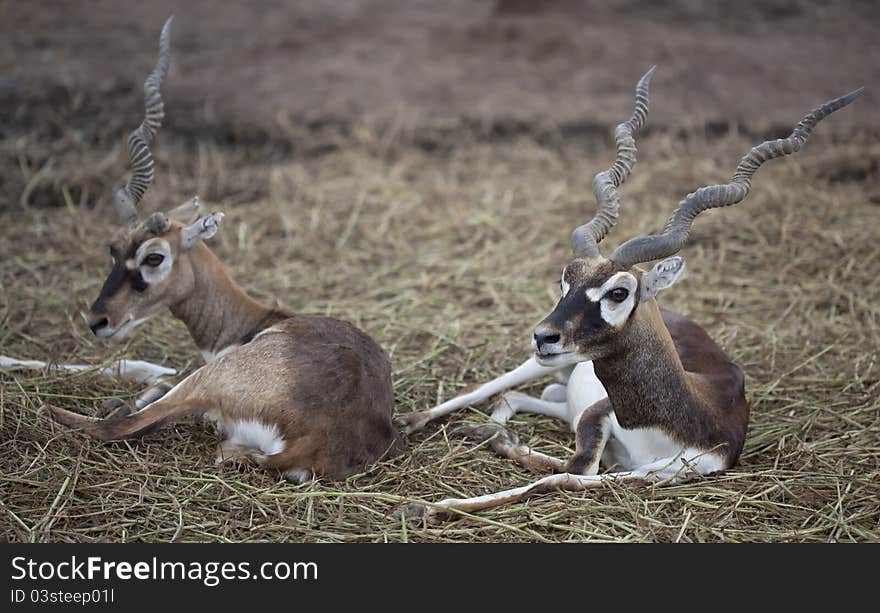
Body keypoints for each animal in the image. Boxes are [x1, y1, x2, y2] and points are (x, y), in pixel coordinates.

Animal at [34, 16, 404, 480]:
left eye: (154, 256)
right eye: (113, 249)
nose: (98, 320)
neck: (251, 324)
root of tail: (314, 437)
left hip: (206, 381)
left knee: (117, 426)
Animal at [400, 67, 868, 520]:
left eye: (619, 292)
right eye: (566, 279)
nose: (544, 335)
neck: (677, 420)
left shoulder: (667, 470)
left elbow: (563, 477)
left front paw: (433, 502)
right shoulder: (598, 414)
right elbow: (571, 466)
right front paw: (425, 504)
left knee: (521, 401)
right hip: (546, 365)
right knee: (487, 391)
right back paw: (412, 422)